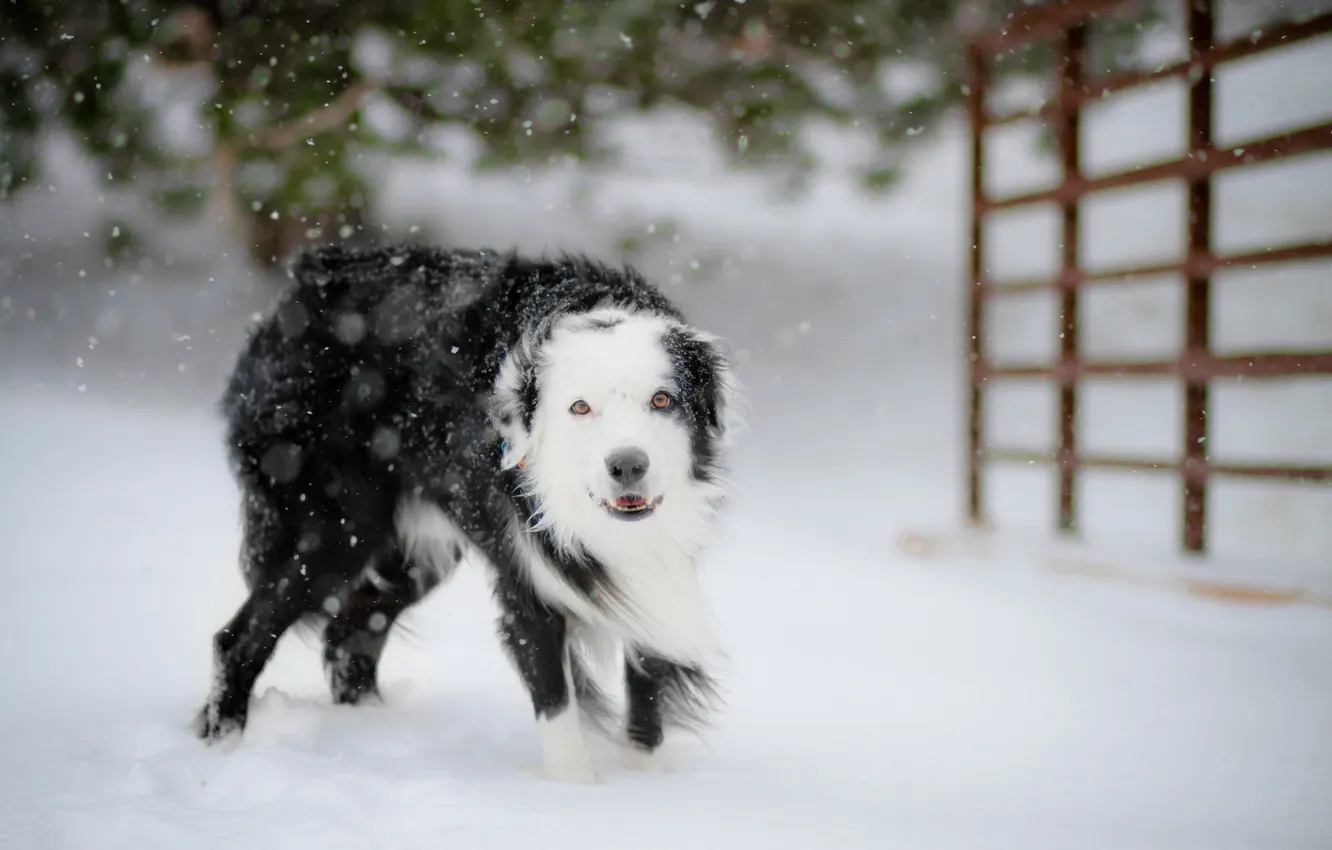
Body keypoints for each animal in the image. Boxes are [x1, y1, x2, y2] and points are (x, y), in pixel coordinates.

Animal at [195, 241, 740, 788]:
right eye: (580, 408)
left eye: (662, 400)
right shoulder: (527, 588)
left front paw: (645, 784)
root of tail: (300, 287)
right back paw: (223, 745)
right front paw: (574, 793)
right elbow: (557, 707)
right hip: (335, 531)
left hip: (410, 558)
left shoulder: (659, 571)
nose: (627, 465)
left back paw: (371, 730)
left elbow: (646, 695)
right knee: (239, 639)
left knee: (350, 635)